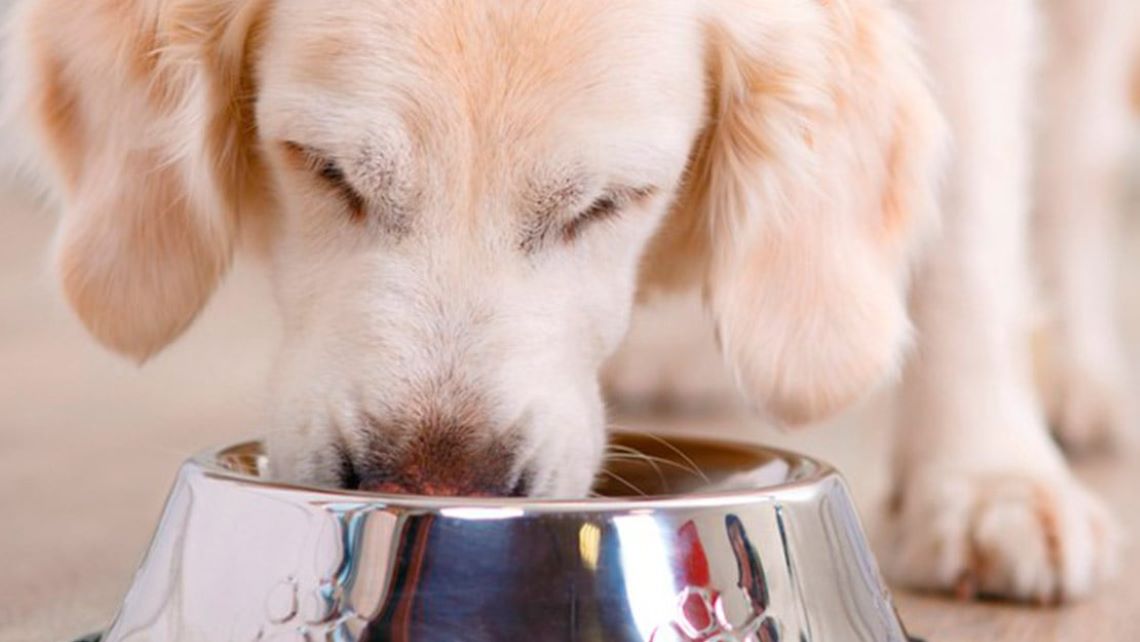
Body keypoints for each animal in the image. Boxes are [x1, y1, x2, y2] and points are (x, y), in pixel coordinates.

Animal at [2, 0, 1130, 606]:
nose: (434, 485)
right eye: (326, 170)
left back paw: (1080, 377)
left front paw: (983, 479)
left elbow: (973, 219)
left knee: (1076, 148)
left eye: (607, 204)